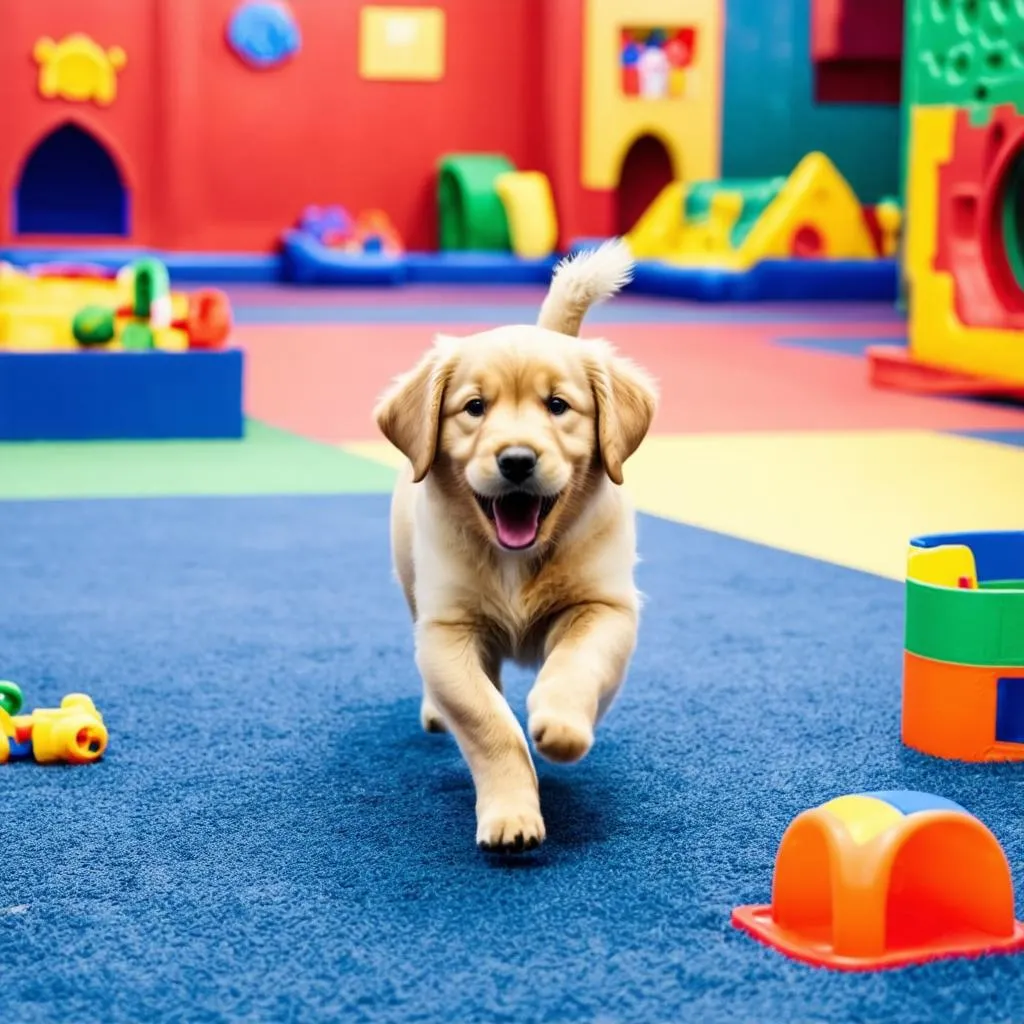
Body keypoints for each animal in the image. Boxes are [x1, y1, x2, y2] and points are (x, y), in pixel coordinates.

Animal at [374, 237, 655, 847]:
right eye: (475, 408)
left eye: (558, 406)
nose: (518, 460)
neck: (516, 558)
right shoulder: (449, 629)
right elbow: (488, 723)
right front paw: (512, 815)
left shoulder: (604, 606)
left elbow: (576, 661)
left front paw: (562, 724)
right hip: (413, 588)